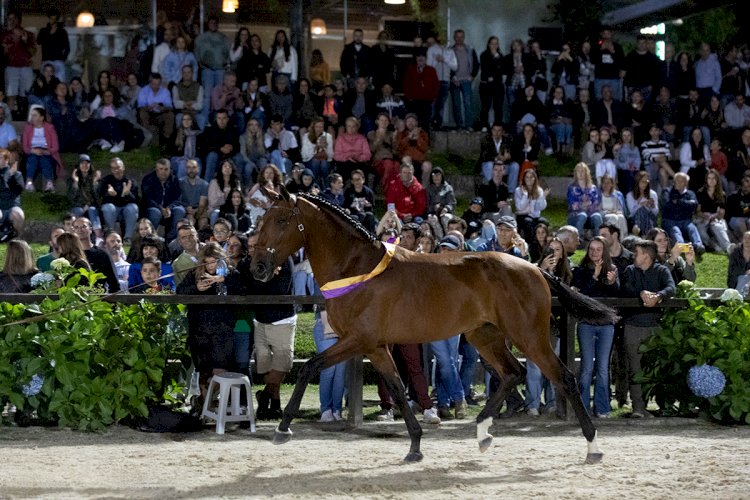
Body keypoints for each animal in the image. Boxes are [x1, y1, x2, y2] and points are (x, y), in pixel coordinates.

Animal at [250, 188, 620, 464]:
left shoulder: (358, 339)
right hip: (484, 335)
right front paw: (415, 446)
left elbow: (309, 367)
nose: (258, 267)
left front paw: (282, 429)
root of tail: (535, 268)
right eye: (262, 219)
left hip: (529, 335)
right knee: (512, 372)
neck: (357, 268)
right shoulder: (376, 346)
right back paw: (482, 432)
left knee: (564, 378)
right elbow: (399, 390)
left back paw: (594, 447)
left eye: (281, 220)